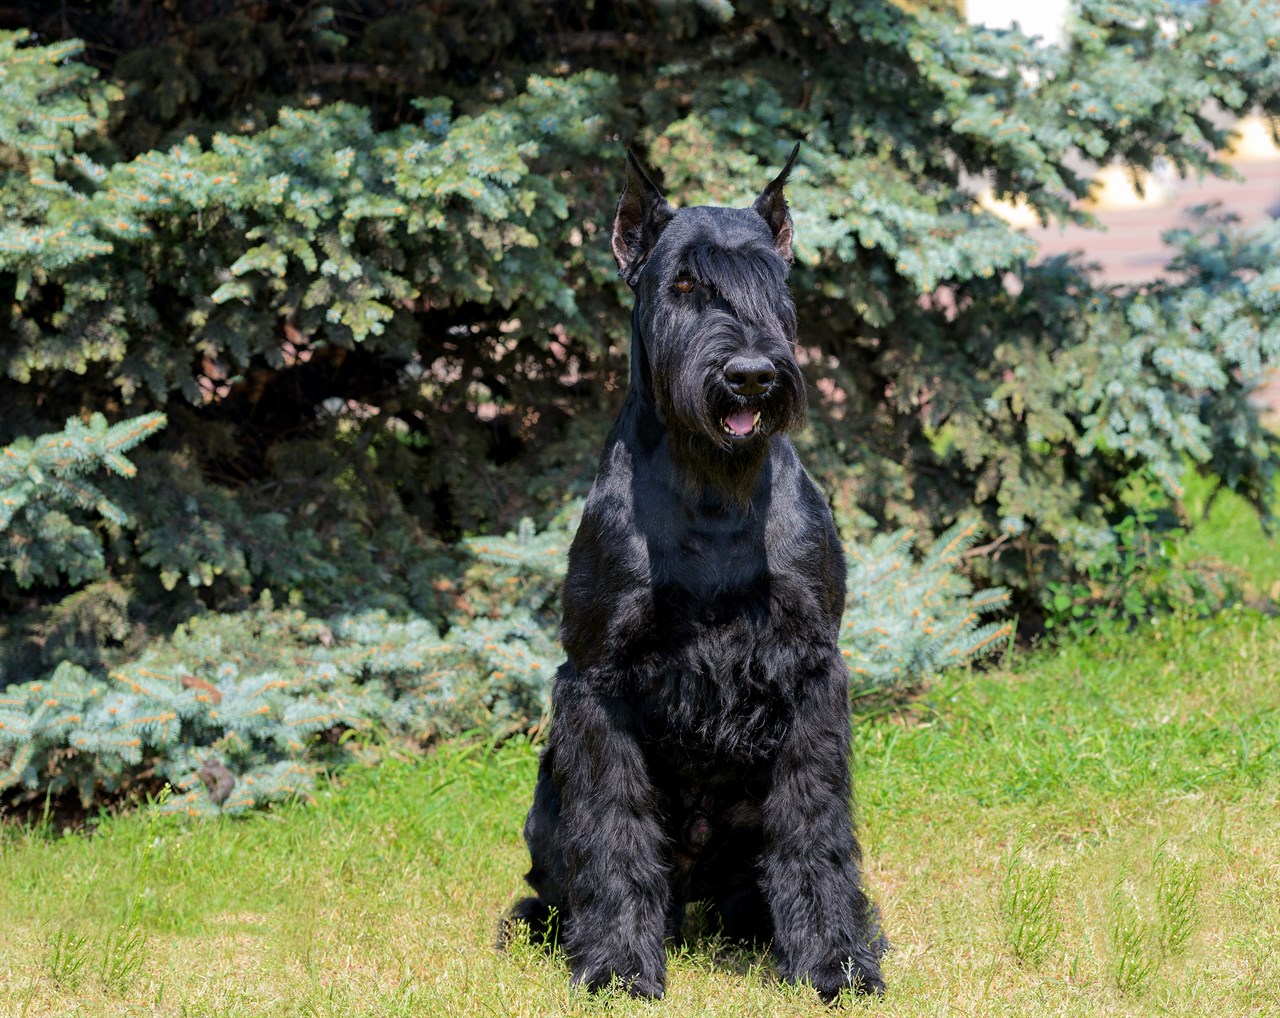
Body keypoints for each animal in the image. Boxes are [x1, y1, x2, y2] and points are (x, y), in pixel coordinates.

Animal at [504, 143, 885, 1003]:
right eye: (681, 284)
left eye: (772, 285)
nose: (750, 376)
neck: (713, 489)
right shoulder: (597, 680)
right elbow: (613, 829)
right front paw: (616, 967)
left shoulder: (812, 670)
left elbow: (814, 825)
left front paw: (836, 960)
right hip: (548, 806)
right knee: (555, 880)